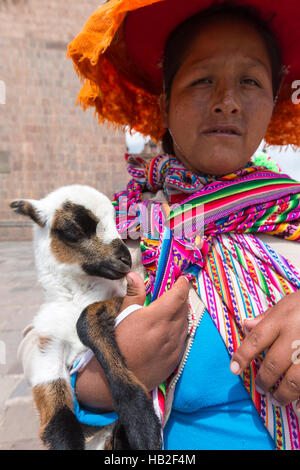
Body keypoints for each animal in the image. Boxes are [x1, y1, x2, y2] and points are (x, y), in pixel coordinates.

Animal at [10, 185, 162, 452]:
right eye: (74, 230)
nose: (126, 259)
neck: (76, 298)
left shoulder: (129, 300)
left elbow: (86, 320)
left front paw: (142, 424)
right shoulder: (47, 348)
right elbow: (58, 422)